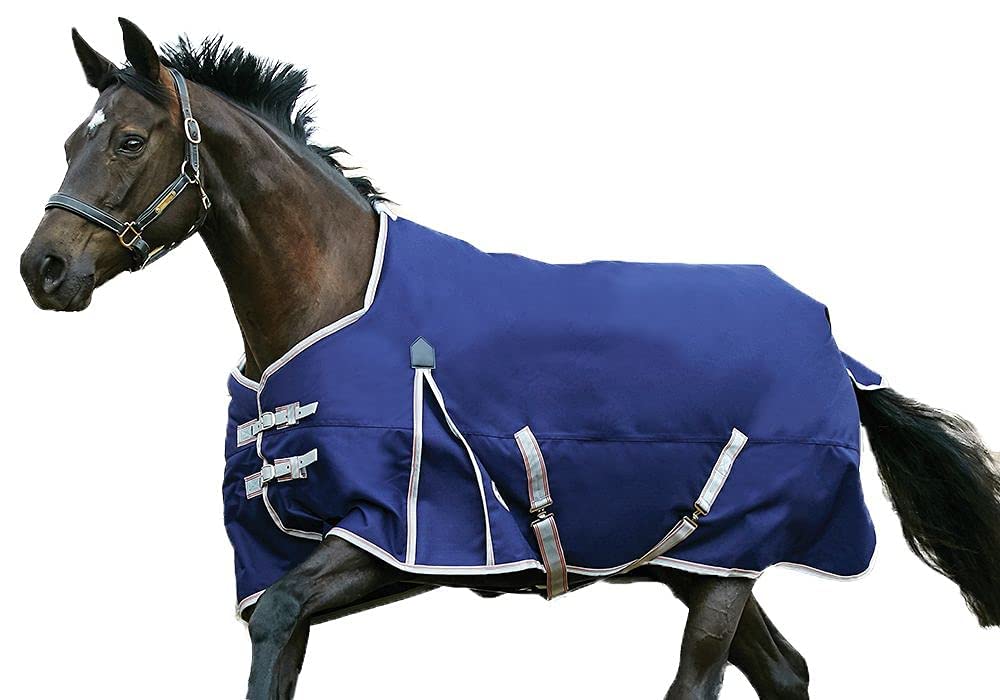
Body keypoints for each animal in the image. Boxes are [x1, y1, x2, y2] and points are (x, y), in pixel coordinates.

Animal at [19, 19, 1000, 700]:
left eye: (130, 140)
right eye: (70, 140)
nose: (44, 268)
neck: (335, 298)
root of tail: (837, 348)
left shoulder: (396, 535)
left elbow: (281, 625)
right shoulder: (303, 555)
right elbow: (277, 646)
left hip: (731, 558)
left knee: (703, 680)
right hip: (704, 565)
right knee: (788, 672)